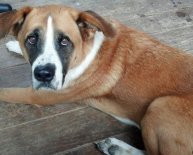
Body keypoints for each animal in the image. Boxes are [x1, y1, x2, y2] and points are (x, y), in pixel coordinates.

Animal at [0, 4, 193, 154]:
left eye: (65, 42)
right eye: (31, 39)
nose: (43, 74)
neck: (86, 50)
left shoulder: (39, 94)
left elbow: (6, 91)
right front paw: (14, 44)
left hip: (160, 105)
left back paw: (118, 148)